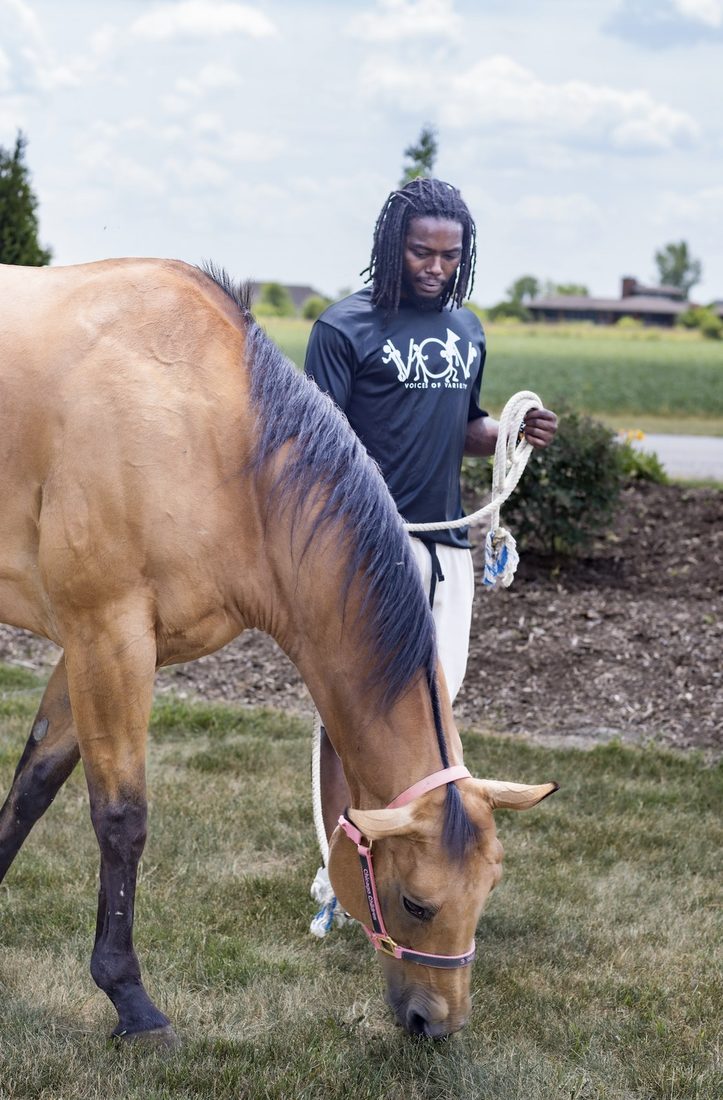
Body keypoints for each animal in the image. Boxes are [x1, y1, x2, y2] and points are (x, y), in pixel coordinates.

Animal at [0, 258, 557, 1044]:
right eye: (416, 903)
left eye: (489, 889)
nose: (436, 1025)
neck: (215, 437)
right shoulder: (106, 638)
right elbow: (120, 819)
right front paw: (131, 1001)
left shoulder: (97, 648)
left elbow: (33, 785)